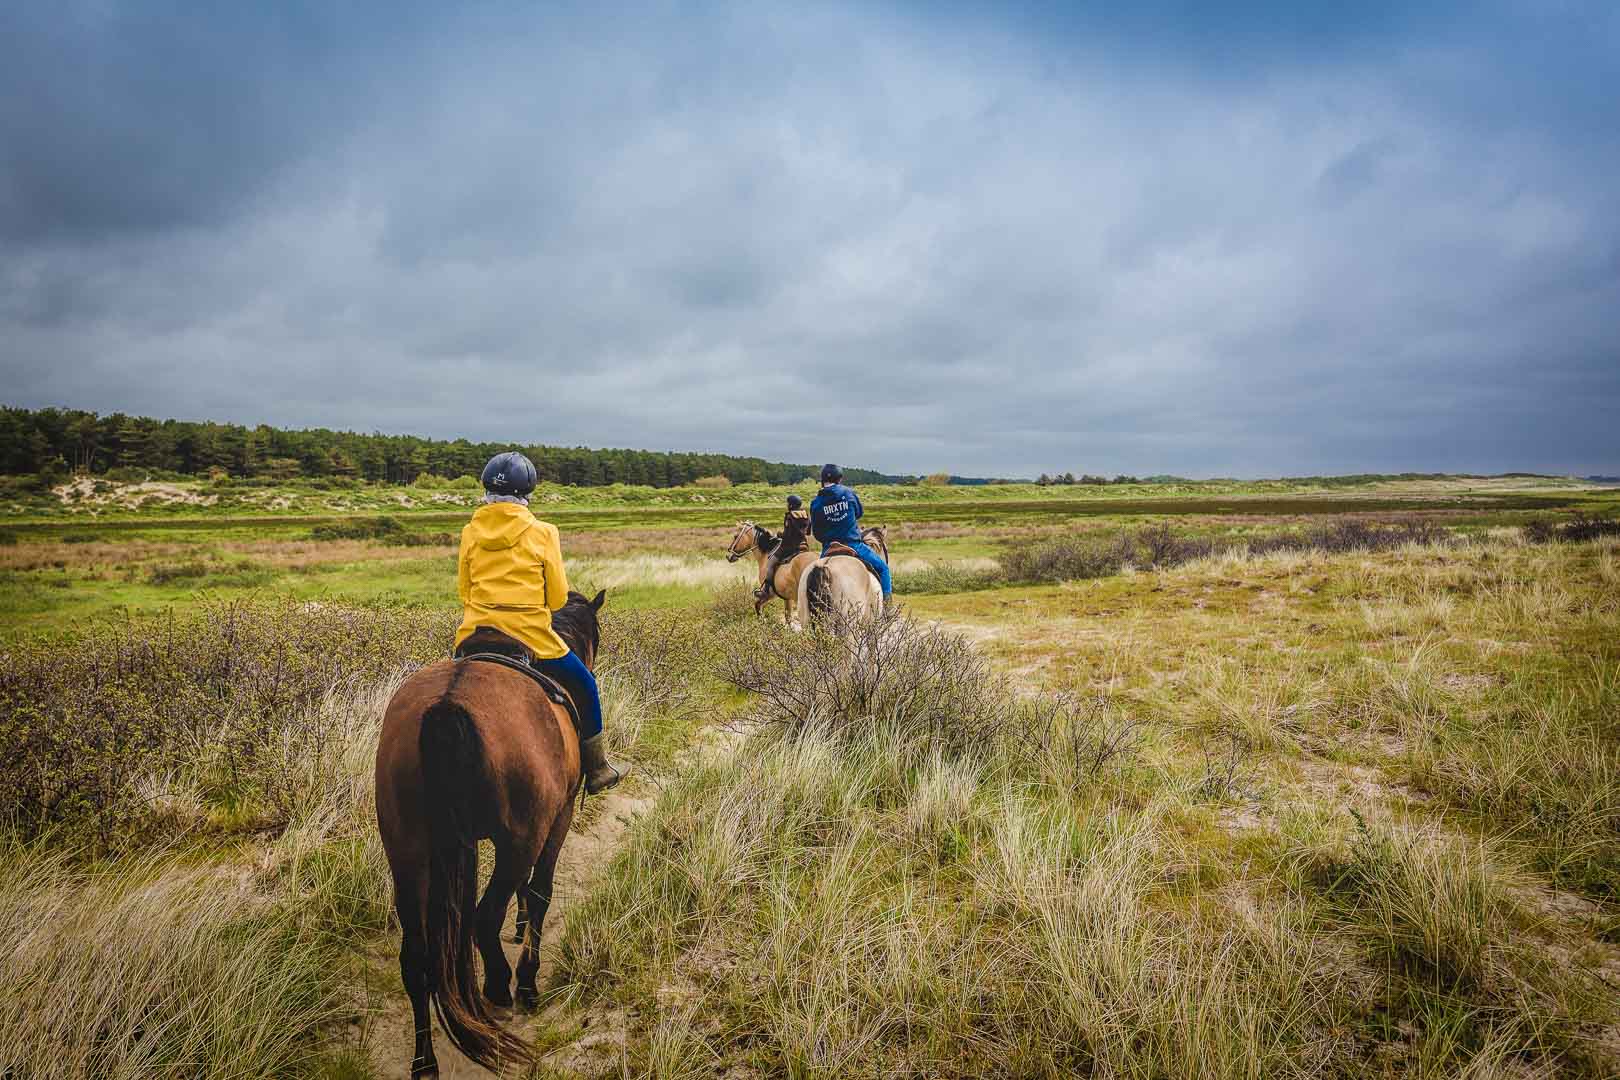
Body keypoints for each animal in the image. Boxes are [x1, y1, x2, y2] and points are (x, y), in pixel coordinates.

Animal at [372, 592, 609, 1080]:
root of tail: (447, 704)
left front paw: (518, 930)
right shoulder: (556, 819)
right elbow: (539, 893)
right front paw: (529, 980)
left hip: (407, 852)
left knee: (417, 957)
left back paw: (425, 1061)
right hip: (519, 840)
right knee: (483, 918)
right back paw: (501, 989)